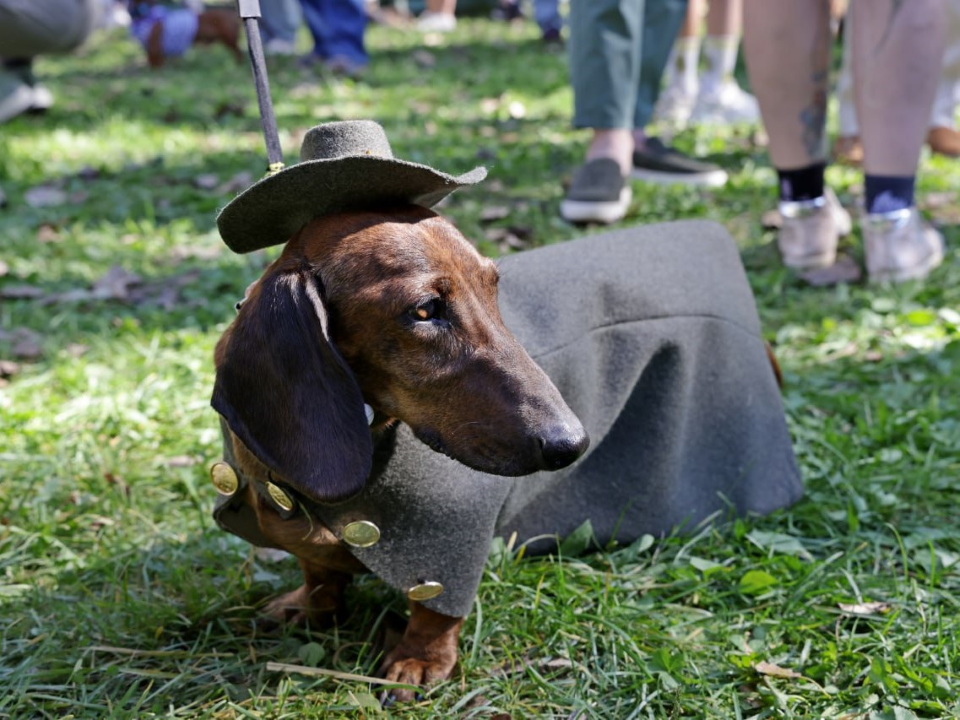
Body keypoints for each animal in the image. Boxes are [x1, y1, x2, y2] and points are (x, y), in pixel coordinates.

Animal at [213, 205, 588, 700]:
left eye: (493, 288)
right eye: (424, 310)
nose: (573, 442)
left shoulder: (451, 547)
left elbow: (435, 605)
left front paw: (419, 658)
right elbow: (318, 572)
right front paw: (308, 607)